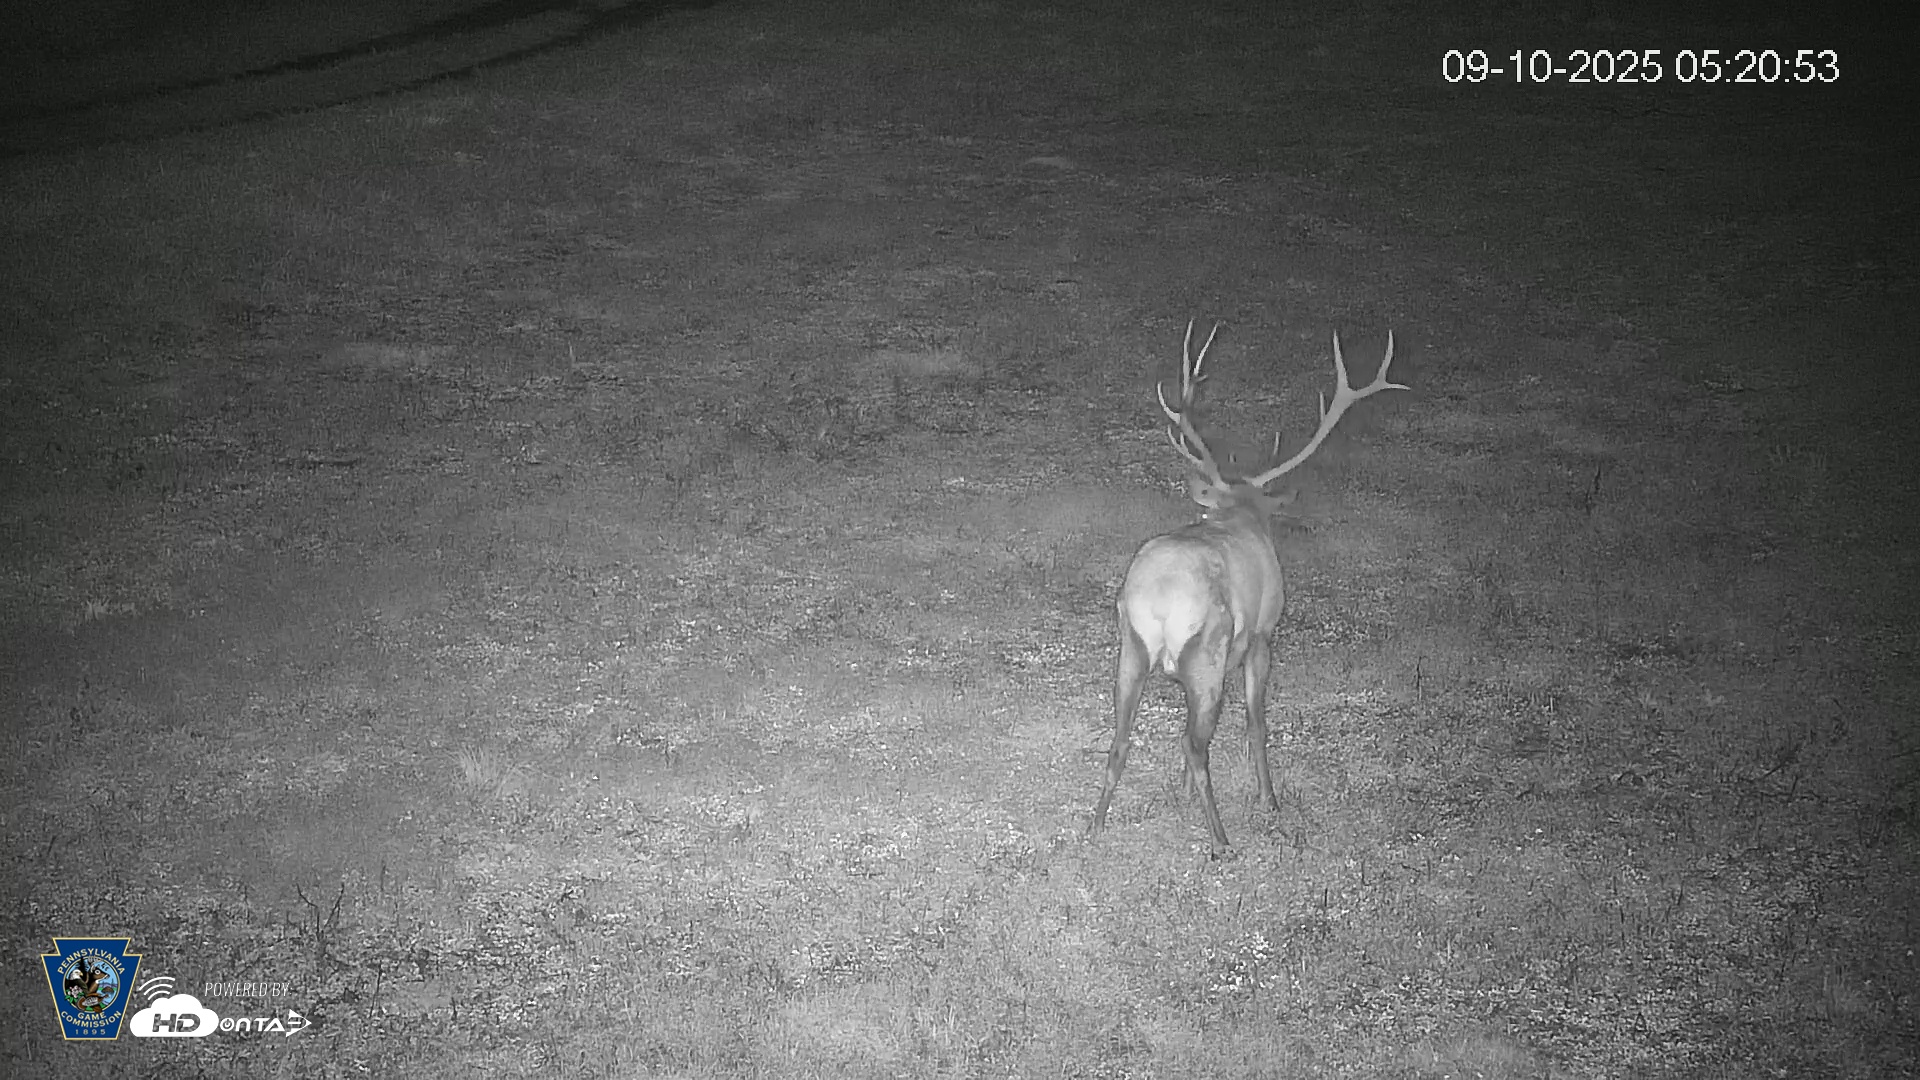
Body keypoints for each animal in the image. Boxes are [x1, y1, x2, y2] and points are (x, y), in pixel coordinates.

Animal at [1093, 321, 1407, 854]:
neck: (1240, 510)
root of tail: (1157, 600)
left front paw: (1182, 795)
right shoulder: (1263, 634)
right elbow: (1257, 722)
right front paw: (1269, 799)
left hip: (1130, 650)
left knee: (1120, 740)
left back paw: (1094, 826)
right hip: (1209, 651)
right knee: (1195, 743)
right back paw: (1221, 842)